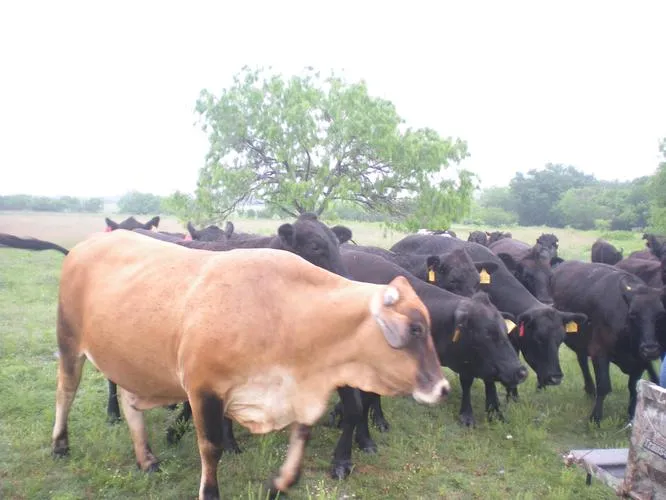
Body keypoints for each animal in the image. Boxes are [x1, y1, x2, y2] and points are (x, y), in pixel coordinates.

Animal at [51, 230, 449, 500]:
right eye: (415, 329)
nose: (442, 387)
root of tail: (89, 243)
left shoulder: (297, 394)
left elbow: (301, 436)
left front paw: (282, 482)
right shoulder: (204, 389)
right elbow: (211, 446)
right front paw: (210, 491)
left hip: (132, 358)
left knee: (131, 404)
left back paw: (147, 459)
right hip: (69, 340)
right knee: (66, 392)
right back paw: (60, 445)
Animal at [338, 250, 527, 431]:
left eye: (505, 331)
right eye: (487, 334)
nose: (521, 371)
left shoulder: (467, 360)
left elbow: (469, 382)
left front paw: (472, 414)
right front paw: (378, 419)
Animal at [550, 261, 664, 423]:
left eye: (660, 314)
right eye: (633, 314)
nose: (650, 349)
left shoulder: (640, 361)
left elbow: (633, 386)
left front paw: (631, 415)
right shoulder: (599, 351)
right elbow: (604, 385)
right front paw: (595, 417)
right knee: (582, 362)